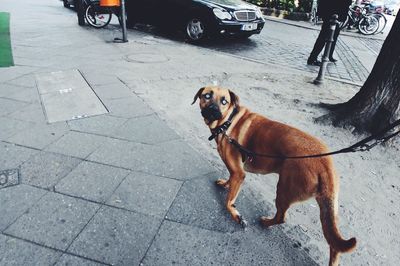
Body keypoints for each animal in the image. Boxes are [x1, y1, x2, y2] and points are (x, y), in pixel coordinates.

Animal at [194, 87, 356, 264]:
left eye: (224, 101)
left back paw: (266, 222)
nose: (213, 109)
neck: (228, 122)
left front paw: (237, 216)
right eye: (207, 96)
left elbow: (228, 202)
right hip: (328, 209)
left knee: (281, 217)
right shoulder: (234, 172)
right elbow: (229, 179)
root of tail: (326, 165)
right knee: (333, 242)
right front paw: (225, 184)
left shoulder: (239, 173)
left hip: (284, 190)